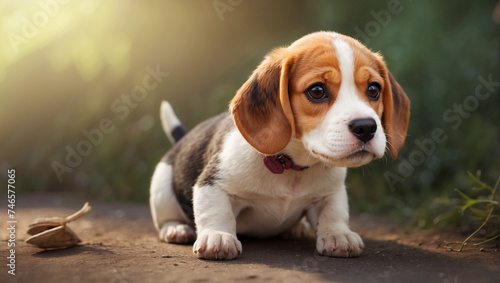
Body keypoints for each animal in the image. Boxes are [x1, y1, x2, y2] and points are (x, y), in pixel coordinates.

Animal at [149, 30, 410, 260]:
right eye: (317, 91)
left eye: (374, 89)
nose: (366, 127)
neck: (291, 166)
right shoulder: (212, 184)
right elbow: (216, 210)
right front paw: (218, 236)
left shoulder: (332, 191)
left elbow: (334, 211)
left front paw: (338, 235)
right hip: (161, 188)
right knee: (165, 219)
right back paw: (176, 229)